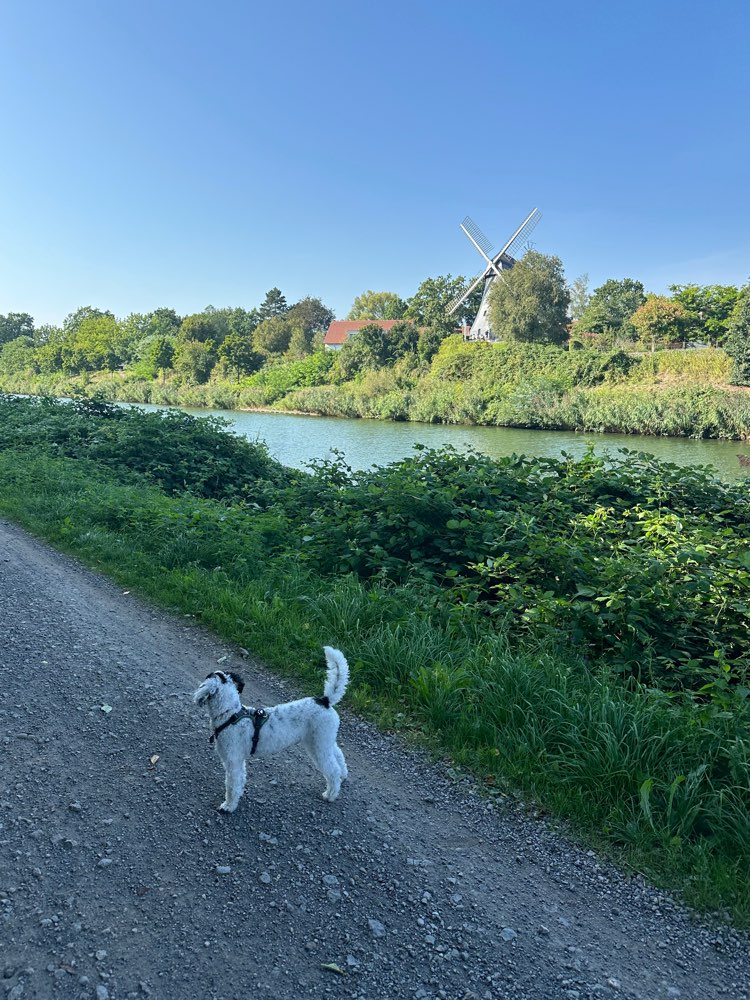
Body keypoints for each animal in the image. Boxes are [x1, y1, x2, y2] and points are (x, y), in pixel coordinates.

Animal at [191, 648, 350, 812]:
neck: (229, 713)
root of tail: (325, 701)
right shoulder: (239, 761)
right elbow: (240, 780)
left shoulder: (232, 760)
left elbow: (232, 785)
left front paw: (228, 806)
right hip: (324, 740)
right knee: (339, 756)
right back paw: (343, 776)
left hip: (319, 745)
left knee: (333, 770)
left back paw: (330, 794)